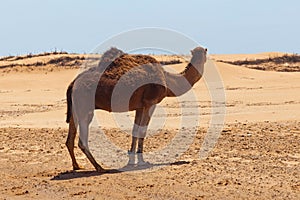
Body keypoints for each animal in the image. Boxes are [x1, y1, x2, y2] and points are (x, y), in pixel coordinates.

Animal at [65, 45, 206, 172]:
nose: (201, 57)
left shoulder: (140, 106)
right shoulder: (150, 102)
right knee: (82, 140)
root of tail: (73, 83)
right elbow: (142, 131)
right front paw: (142, 161)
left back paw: (77, 166)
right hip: (84, 106)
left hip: (75, 108)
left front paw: (131, 160)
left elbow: (135, 131)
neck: (167, 79)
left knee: (70, 138)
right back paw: (99, 167)